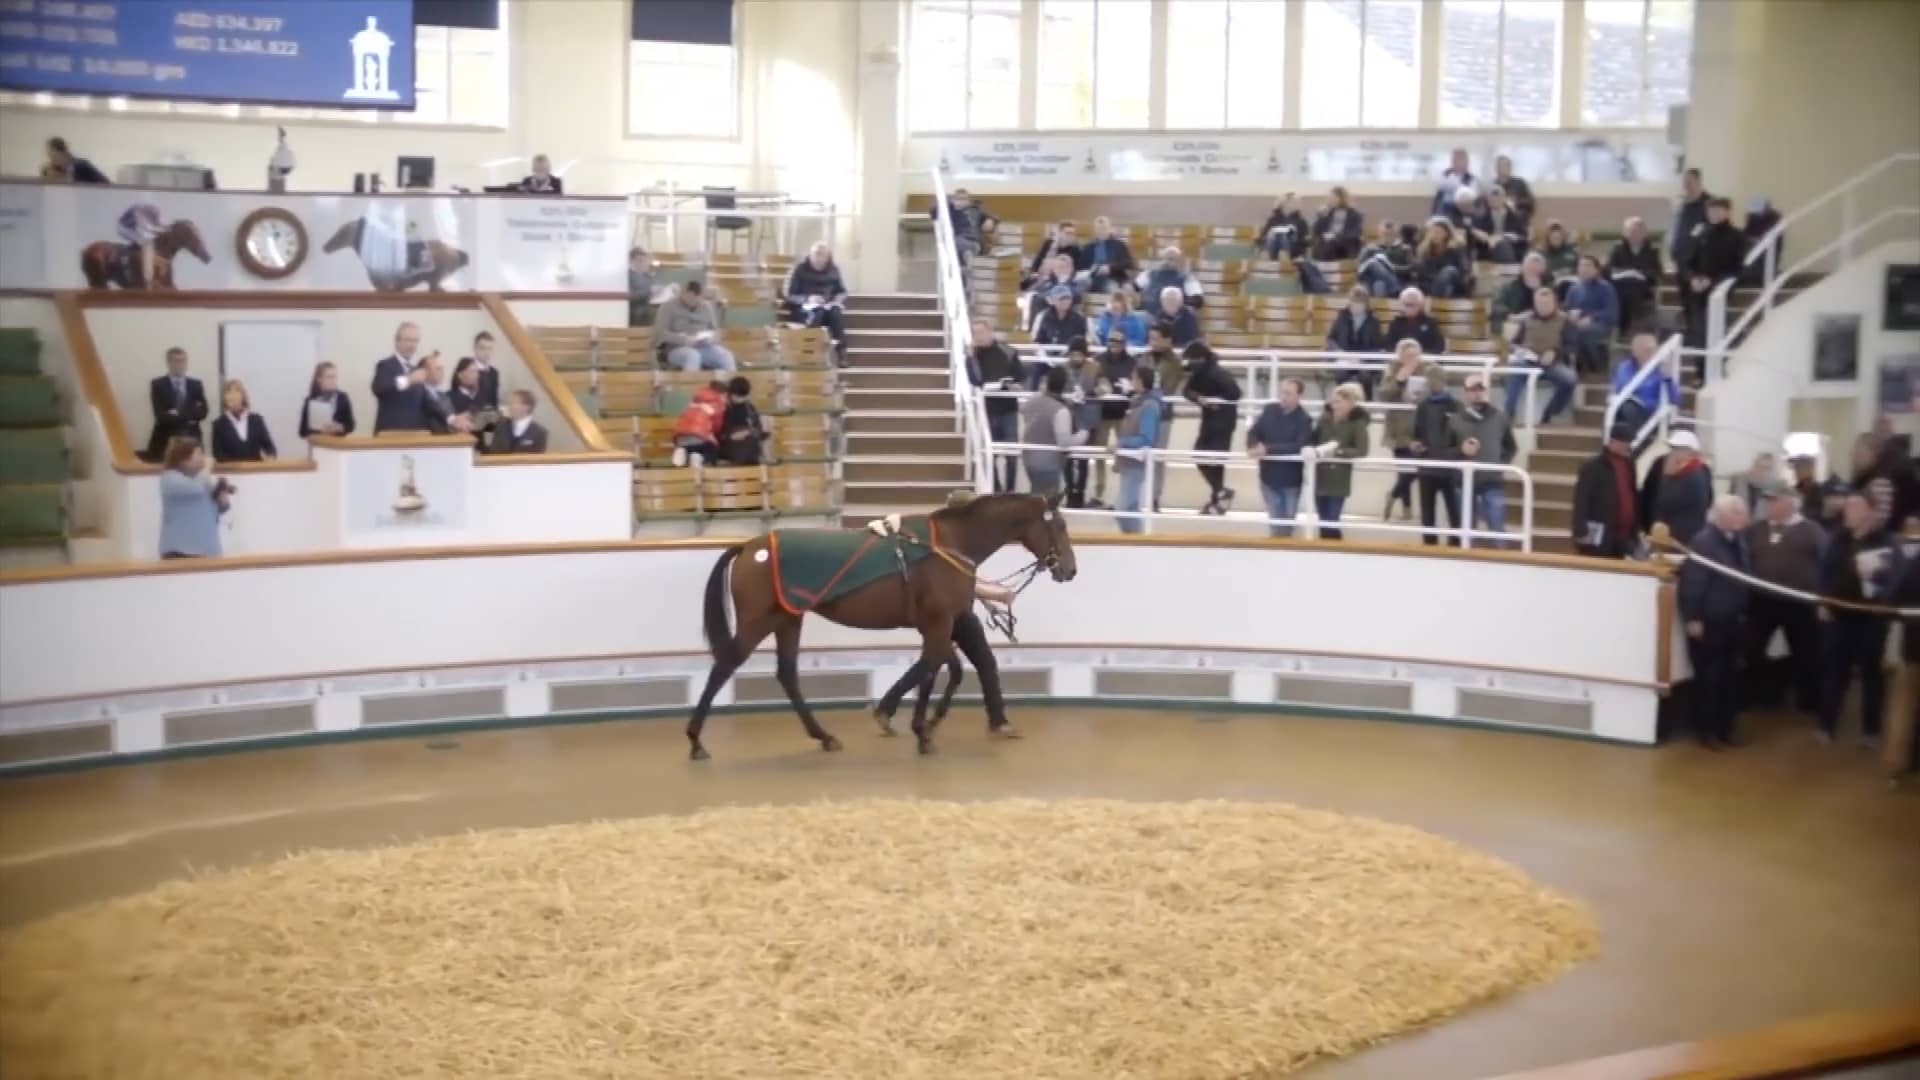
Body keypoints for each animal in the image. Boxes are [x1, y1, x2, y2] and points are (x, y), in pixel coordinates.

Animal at [80, 220, 210, 289]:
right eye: (193, 235)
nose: (207, 256)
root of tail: (85, 250)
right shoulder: (149, 286)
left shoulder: (167, 284)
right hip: (98, 280)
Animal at [687, 493, 1077, 760]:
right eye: (1058, 526)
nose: (1070, 569)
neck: (946, 545)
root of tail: (748, 547)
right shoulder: (939, 622)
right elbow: (934, 667)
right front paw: (916, 726)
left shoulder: (938, 625)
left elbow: (937, 668)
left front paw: (919, 725)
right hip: (759, 621)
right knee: (724, 666)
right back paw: (695, 740)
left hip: (788, 619)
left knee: (787, 675)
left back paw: (824, 736)